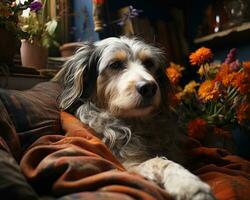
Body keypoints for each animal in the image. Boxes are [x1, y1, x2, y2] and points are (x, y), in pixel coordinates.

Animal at [52, 36, 215, 199]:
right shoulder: (128, 167)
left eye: (148, 63)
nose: (148, 88)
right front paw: (189, 184)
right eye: (115, 64)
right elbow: (160, 162)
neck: (138, 125)